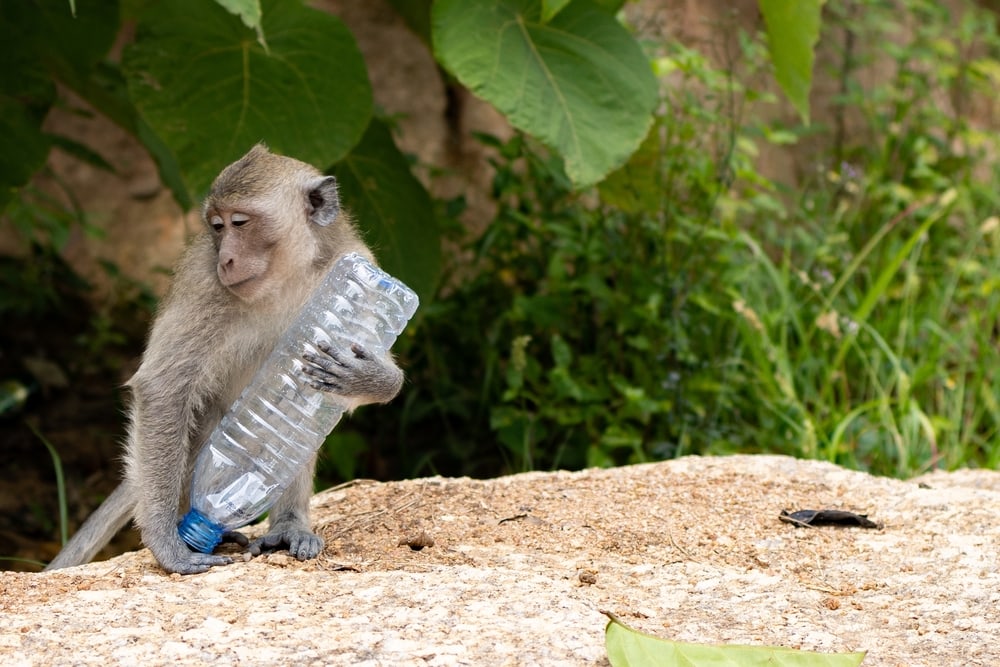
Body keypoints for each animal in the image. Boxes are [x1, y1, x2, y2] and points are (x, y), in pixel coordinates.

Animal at [45, 144, 404, 575]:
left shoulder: (356, 258)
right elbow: (164, 387)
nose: (227, 259)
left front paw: (371, 378)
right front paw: (164, 539)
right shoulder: (204, 282)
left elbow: (344, 390)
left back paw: (288, 525)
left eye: (240, 222)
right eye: (217, 227)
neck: (286, 278)